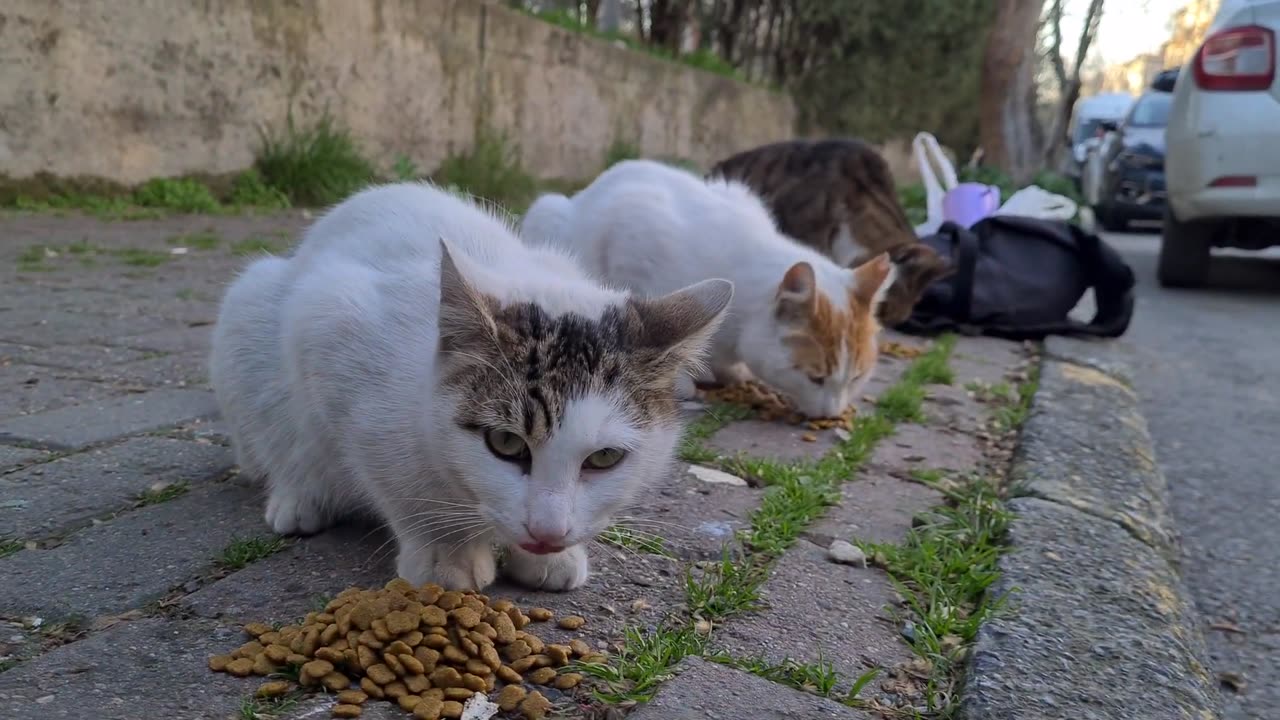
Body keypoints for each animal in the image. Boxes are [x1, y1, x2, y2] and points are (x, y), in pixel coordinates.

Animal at [207, 180, 732, 589]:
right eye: (505, 443)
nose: (547, 531)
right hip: (247, 309)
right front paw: (447, 554)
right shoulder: (328, 330)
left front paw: (556, 557)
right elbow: (401, 487)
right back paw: (299, 496)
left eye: (604, 458)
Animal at [517, 156, 890, 415]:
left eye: (856, 377)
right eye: (816, 377)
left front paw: (730, 370)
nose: (832, 414)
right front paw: (679, 379)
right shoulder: (631, 238)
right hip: (547, 213)